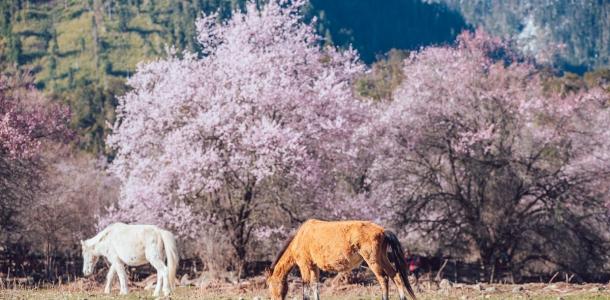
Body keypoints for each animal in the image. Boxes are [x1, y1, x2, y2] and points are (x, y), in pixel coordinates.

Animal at [268, 218, 418, 300]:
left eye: (270, 285)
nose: (274, 298)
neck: (301, 237)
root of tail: (382, 231)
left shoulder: (304, 265)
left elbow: (306, 286)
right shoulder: (314, 267)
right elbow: (315, 286)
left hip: (373, 260)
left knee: (383, 279)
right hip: (382, 258)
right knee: (395, 276)